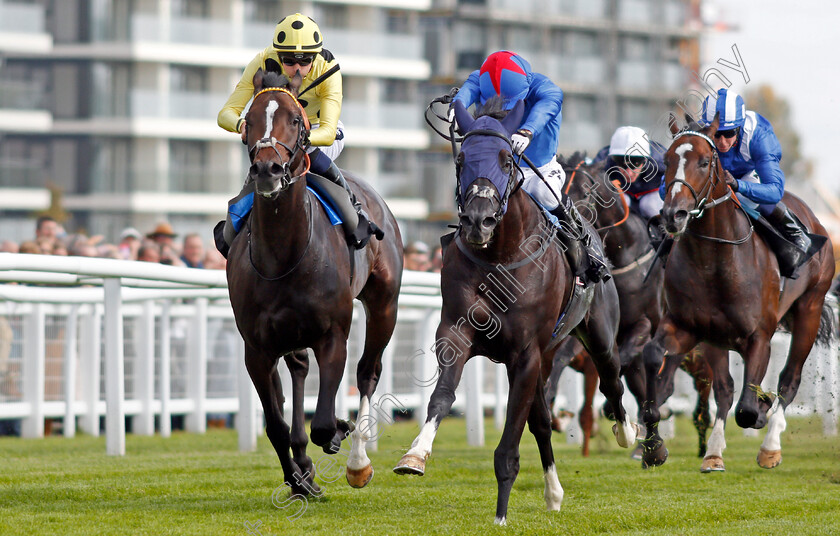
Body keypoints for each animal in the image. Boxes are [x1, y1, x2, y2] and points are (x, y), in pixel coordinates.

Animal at [226, 70, 404, 494]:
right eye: (249, 119)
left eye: (295, 119)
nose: (268, 170)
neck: (283, 255)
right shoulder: (256, 348)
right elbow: (275, 424)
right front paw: (299, 478)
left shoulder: (333, 334)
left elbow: (323, 422)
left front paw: (339, 430)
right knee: (298, 369)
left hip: (384, 304)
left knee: (368, 372)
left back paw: (358, 461)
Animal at [394, 97, 636, 524]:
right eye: (462, 159)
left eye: (507, 159)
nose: (479, 220)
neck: (501, 255)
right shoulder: (457, 333)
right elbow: (442, 397)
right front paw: (415, 454)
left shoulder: (525, 354)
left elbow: (510, 438)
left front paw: (500, 515)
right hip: (546, 355)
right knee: (541, 420)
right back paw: (553, 492)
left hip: (597, 335)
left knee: (610, 379)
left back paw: (627, 433)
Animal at [540, 154, 720, 456]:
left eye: (584, 191)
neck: (624, 258)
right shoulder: (589, 327)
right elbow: (563, 358)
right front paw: (553, 405)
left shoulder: (644, 325)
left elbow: (621, 363)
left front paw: (609, 410)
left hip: (696, 354)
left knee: (700, 395)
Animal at [644, 112, 832, 468]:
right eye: (668, 160)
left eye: (705, 161)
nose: (673, 215)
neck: (714, 261)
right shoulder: (691, 328)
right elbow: (656, 363)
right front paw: (656, 448)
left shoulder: (759, 337)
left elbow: (747, 407)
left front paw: (761, 410)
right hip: (717, 340)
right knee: (724, 389)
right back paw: (714, 450)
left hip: (809, 310)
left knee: (789, 380)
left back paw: (770, 445)